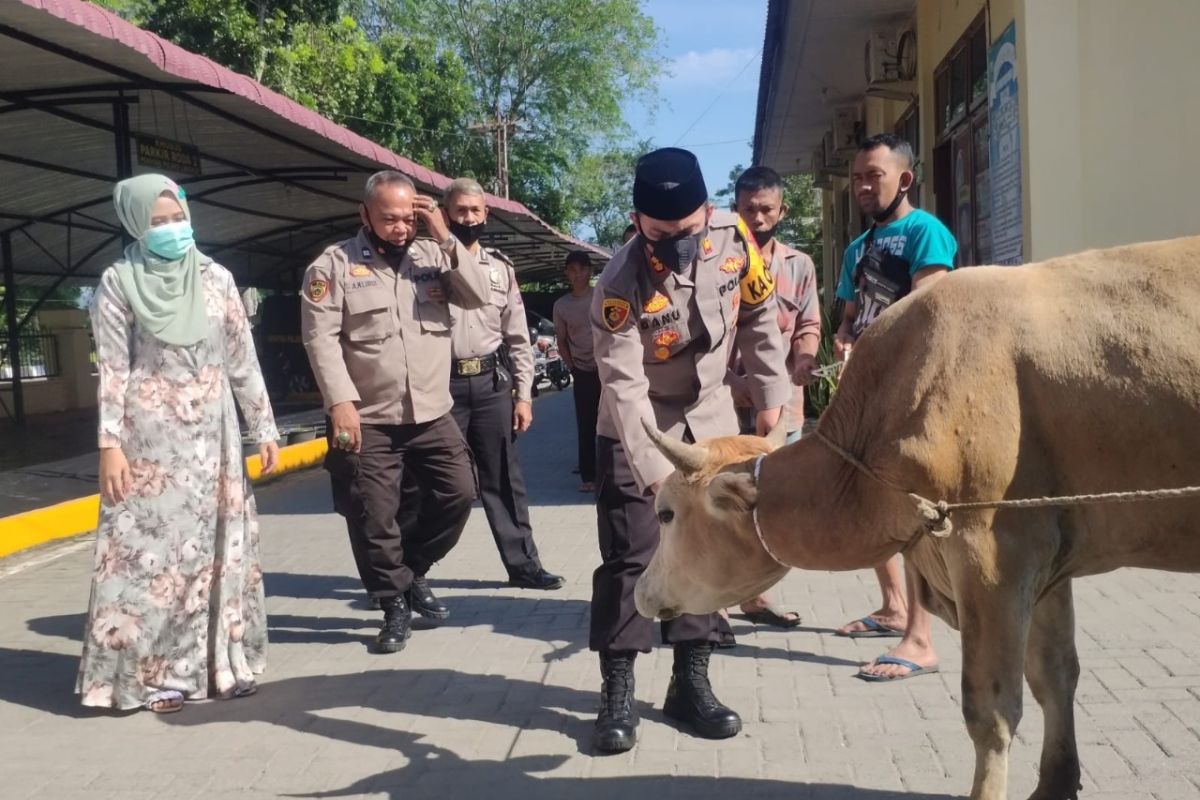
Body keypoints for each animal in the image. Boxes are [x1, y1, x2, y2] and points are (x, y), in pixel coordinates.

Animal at [628, 237, 1200, 800]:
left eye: (666, 513)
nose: (640, 591)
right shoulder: (1049, 560)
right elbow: (1055, 675)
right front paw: (1055, 784)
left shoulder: (992, 553)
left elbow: (991, 710)